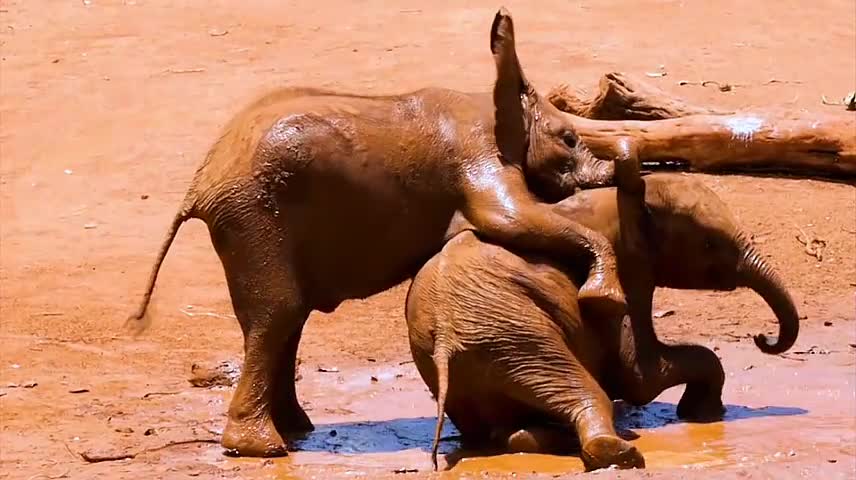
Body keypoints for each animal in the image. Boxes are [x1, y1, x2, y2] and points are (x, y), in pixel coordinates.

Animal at [125, 9, 620, 456]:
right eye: (569, 139)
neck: (496, 98)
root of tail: (200, 183)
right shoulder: (477, 150)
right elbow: (509, 218)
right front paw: (603, 295)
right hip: (254, 217)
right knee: (278, 314)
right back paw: (263, 448)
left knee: (284, 318)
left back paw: (294, 432)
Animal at [404, 158, 800, 468]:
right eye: (708, 244)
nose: (762, 337)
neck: (625, 199)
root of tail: (444, 340)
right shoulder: (627, 278)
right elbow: (639, 375)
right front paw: (703, 413)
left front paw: (702, 415)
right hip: (515, 337)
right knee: (586, 393)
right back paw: (620, 452)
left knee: (507, 428)